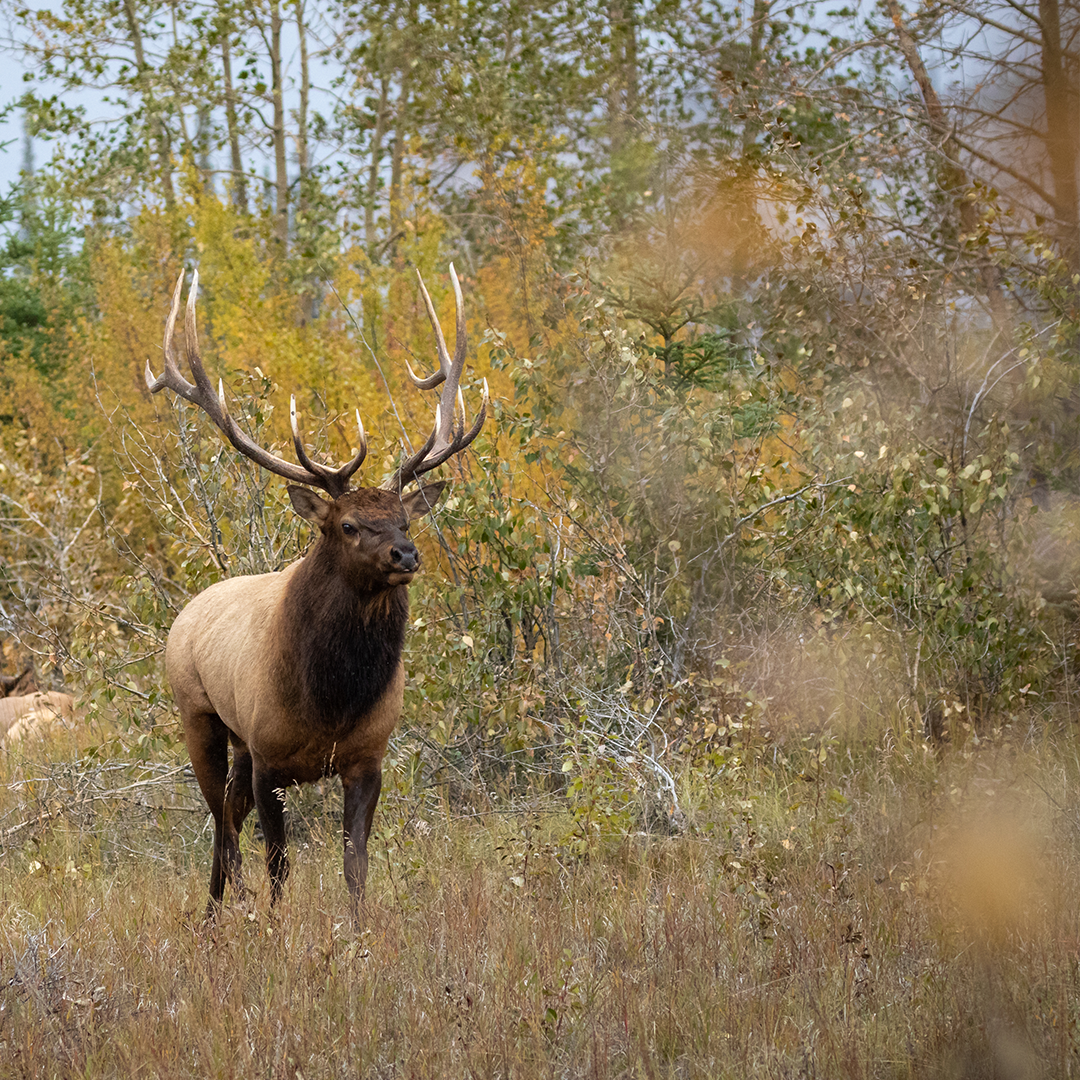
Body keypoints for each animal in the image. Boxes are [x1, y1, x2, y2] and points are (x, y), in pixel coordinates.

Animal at [146, 266, 487, 919]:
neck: (331, 700)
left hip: (238, 745)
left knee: (225, 821)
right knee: (221, 824)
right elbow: (279, 865)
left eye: (404, 521)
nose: (405, 556)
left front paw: (358, 931)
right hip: (199, 715)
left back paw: (214, 916)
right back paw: (223, 909)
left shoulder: (367, 759)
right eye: (349, 525)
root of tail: (187, 611)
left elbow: (356, 865)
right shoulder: (270, 759)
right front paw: (277, 927)